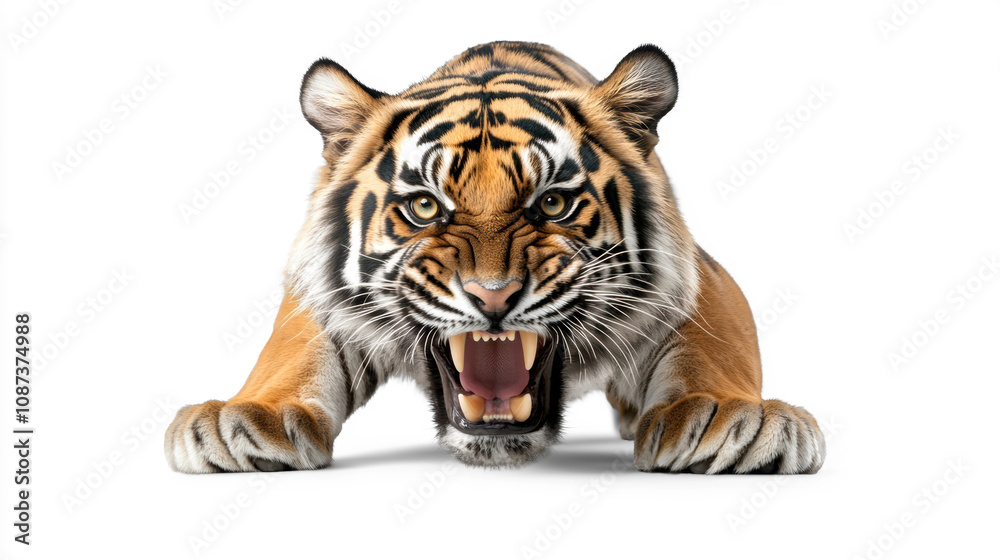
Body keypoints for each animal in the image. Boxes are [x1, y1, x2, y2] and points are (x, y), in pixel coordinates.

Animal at [164, 41, 825, 474]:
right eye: (425, 207)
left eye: (553, 202)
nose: (493, 296)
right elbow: (292, 350)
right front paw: (243, 418)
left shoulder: (699, 275)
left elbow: (712, 344)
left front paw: (726, 416)